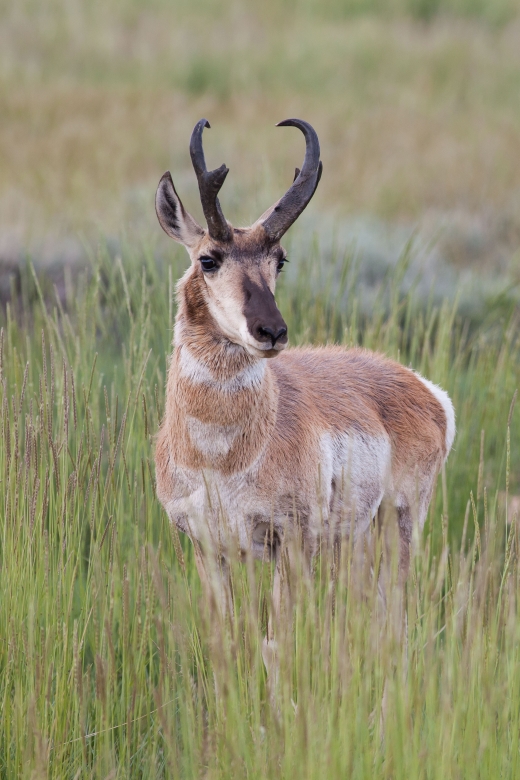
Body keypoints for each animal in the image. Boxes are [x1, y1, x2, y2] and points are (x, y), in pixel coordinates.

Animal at [154, 119, 456, 672]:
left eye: (280, 260)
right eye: (208, 259)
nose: (272, 331)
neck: (223, 456)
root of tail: (423, 387)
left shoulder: (290, 543)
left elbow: (274, 645)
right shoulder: (208, 549)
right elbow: (224, 640)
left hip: (399, 521)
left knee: (394, 616)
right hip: (356, 539)